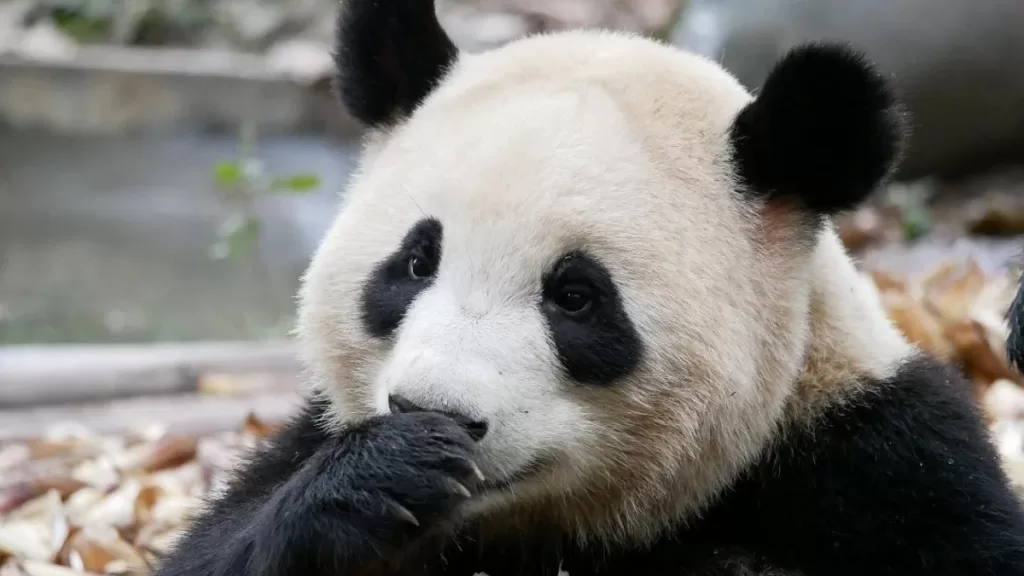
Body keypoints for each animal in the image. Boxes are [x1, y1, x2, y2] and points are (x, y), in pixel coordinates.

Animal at [155, 1, 1024, 575]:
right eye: (415, 263)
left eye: (575, 296)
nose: (432, 412)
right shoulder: (314, 437)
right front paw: (386, 473)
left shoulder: (883, 464)